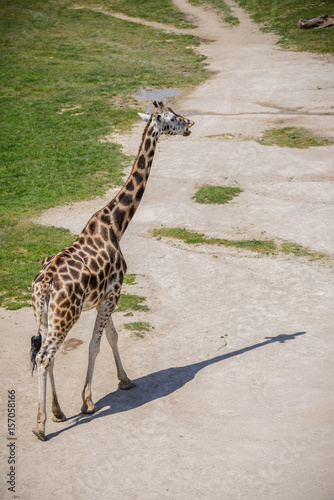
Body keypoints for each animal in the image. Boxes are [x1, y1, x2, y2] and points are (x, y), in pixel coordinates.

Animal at [30, 99, 196, 440]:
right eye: (171, 118)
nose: (190, 124)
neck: (117, 224)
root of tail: (46, 282)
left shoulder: (103, 297)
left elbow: (112, 336)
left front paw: (125, 380)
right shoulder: (114, 293)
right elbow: (96, 345)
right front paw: (88, 402)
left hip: (42, 313)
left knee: (45, 355)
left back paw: (57, 412)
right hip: (65, 315)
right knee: (44, 355)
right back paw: (40, 426)